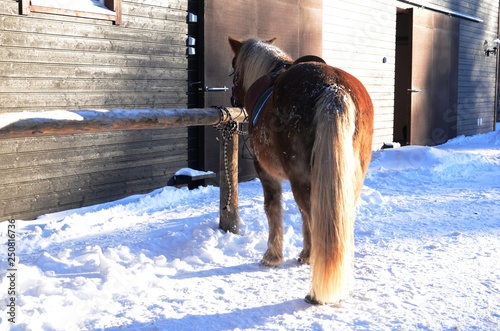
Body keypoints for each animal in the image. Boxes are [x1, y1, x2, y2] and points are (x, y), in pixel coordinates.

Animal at [229, 37, 374, 306]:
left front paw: (272, 256)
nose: (233, 99)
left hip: (301, 179)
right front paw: (306, 254)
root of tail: (334, 88)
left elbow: (273, 208)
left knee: (315, 217)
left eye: (234, 67)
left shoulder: (266, 172)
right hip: (348, 180)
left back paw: (316, 293)